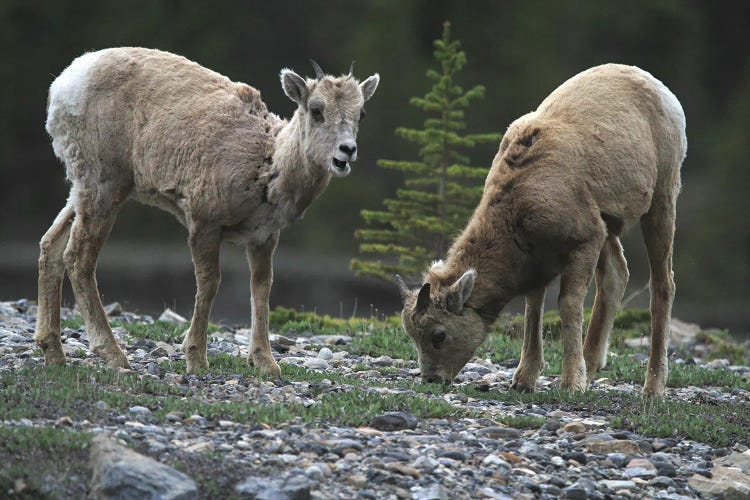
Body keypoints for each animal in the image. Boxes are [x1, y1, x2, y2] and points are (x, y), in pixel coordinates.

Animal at [33, 47, 382, 376]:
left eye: (362, 113)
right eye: (316, 110)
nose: (346, 151)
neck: (268, 167)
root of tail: (61, 86)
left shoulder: (264, 237)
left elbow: (261, 287)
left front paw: (266, 363)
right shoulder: (204, 222)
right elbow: (210, 283)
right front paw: (197, 360)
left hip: (80, 187)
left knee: (51, 245)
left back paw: (53, 352)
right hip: (104, 183)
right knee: (78, 258)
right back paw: (113, 354)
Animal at [400, 64, 688, 396]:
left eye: (439, 335)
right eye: (413, 336)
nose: (432, 379)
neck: (517, 211)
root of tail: (662, 90)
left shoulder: (585, 241)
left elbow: (568, 304)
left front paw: (571, 383)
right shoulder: (544, 255)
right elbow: (533, 306)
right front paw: (525, 379)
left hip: (661, 200)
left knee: (663, 284)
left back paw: (652, 387)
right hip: (610, 225)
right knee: (617, 276)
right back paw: (593, 366)